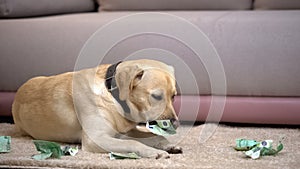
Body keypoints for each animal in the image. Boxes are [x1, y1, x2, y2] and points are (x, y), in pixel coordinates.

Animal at [12, 59, 182, 158]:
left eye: (173, 96)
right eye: (156, 96)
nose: (176, 124)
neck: (112, 95)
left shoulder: (126, 131)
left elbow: (155, 137)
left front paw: (168, 145)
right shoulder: (96, 138)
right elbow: (133, 143)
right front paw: (154, 152)